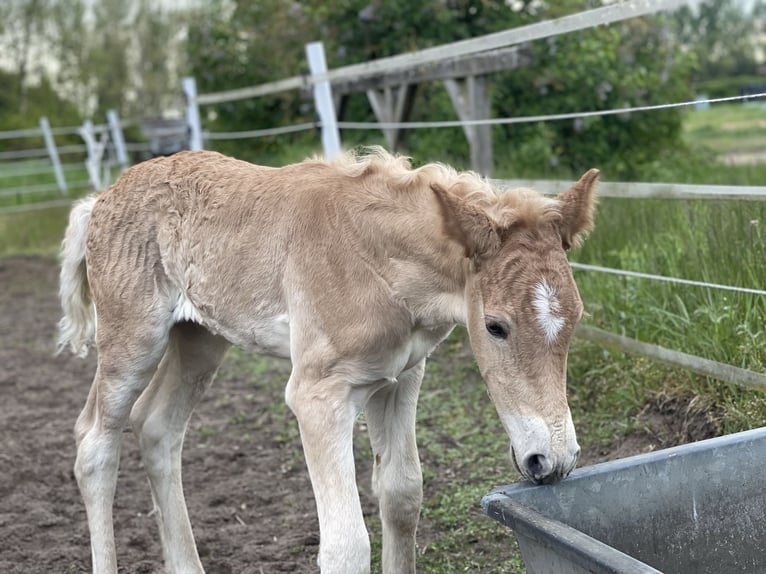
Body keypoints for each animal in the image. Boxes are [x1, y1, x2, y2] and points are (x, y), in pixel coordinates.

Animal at [58, 150, 600, 574]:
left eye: (576, 318)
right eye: (495, 327)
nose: (551, 460)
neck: (375, 261)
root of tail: (99, 199)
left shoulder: (401, 378)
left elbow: (402, 496)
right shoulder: (318, 396)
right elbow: (345, 546)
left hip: (199, 339)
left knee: (157, 426)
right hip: (134, 337)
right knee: (95, 442)